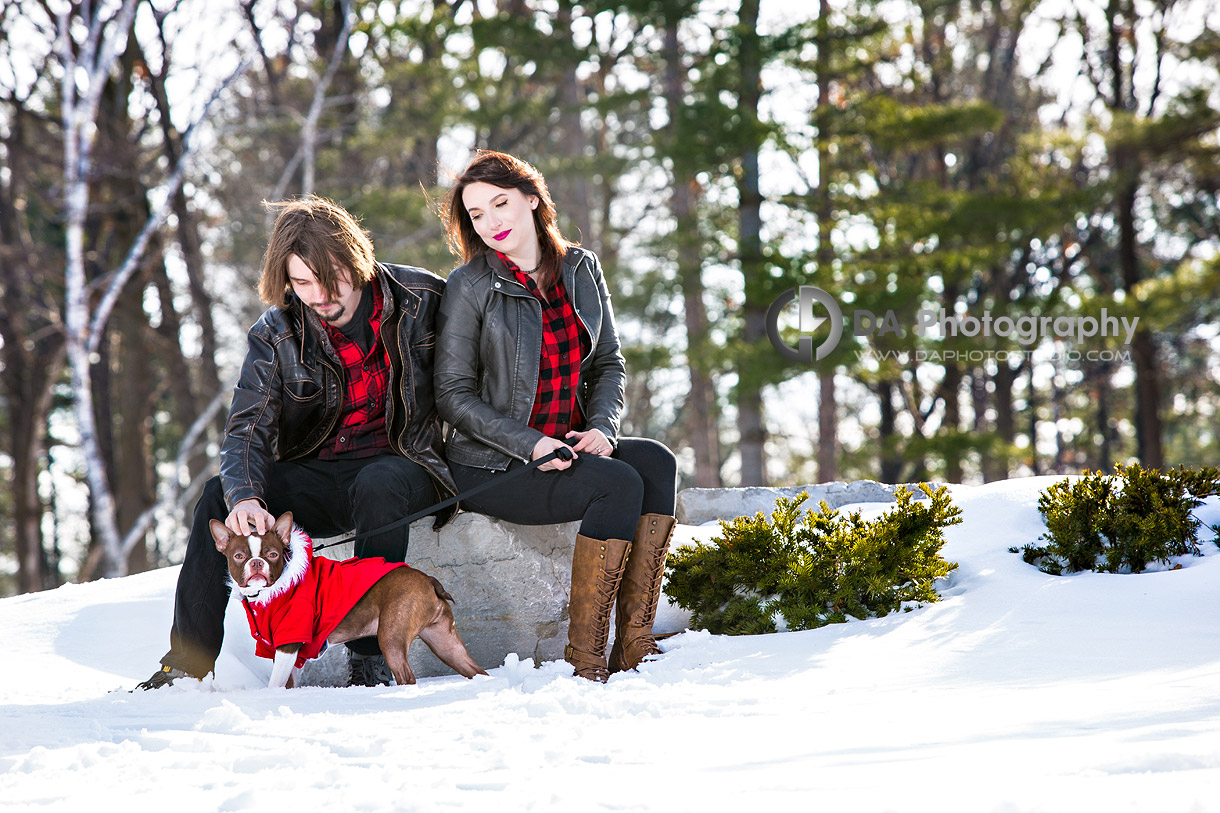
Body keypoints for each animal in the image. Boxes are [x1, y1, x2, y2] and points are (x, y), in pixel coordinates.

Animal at [214, 510, 485, 688]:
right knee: (475, 669)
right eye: (238, 556)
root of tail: (428, 579)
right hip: (444, 641)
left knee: (407, 677)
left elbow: (275, 683)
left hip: (391, 637)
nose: (256, 562)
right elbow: (287, 683)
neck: (269, 594)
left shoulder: (288, 643)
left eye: (272, 554)